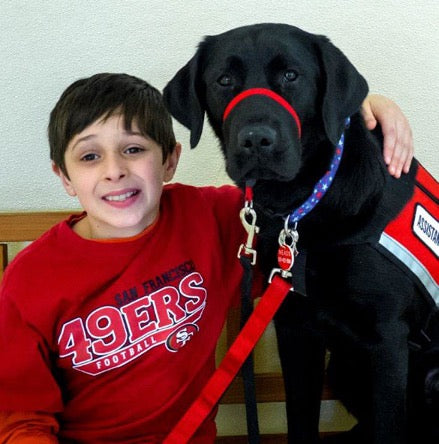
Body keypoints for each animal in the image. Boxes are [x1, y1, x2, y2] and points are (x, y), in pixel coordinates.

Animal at [165, 24, 439, 444]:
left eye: (291, 75)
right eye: (224, 80)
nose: (256, 140)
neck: (301, 207)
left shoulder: (387, 341)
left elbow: (387, 427)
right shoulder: (294, 327)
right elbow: (299, 418)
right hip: (343, 368)